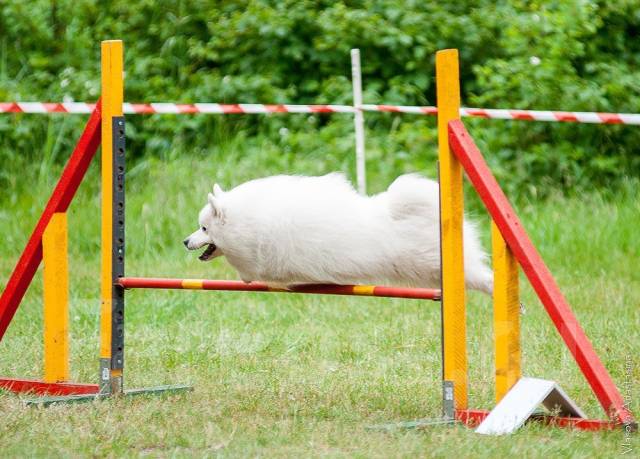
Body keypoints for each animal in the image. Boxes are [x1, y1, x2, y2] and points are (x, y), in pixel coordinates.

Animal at [182, 172, 492, 294]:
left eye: (204, 228)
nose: (185, 241)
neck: (247, 221)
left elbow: (251, 271)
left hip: (434, 263)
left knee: (482, 276)